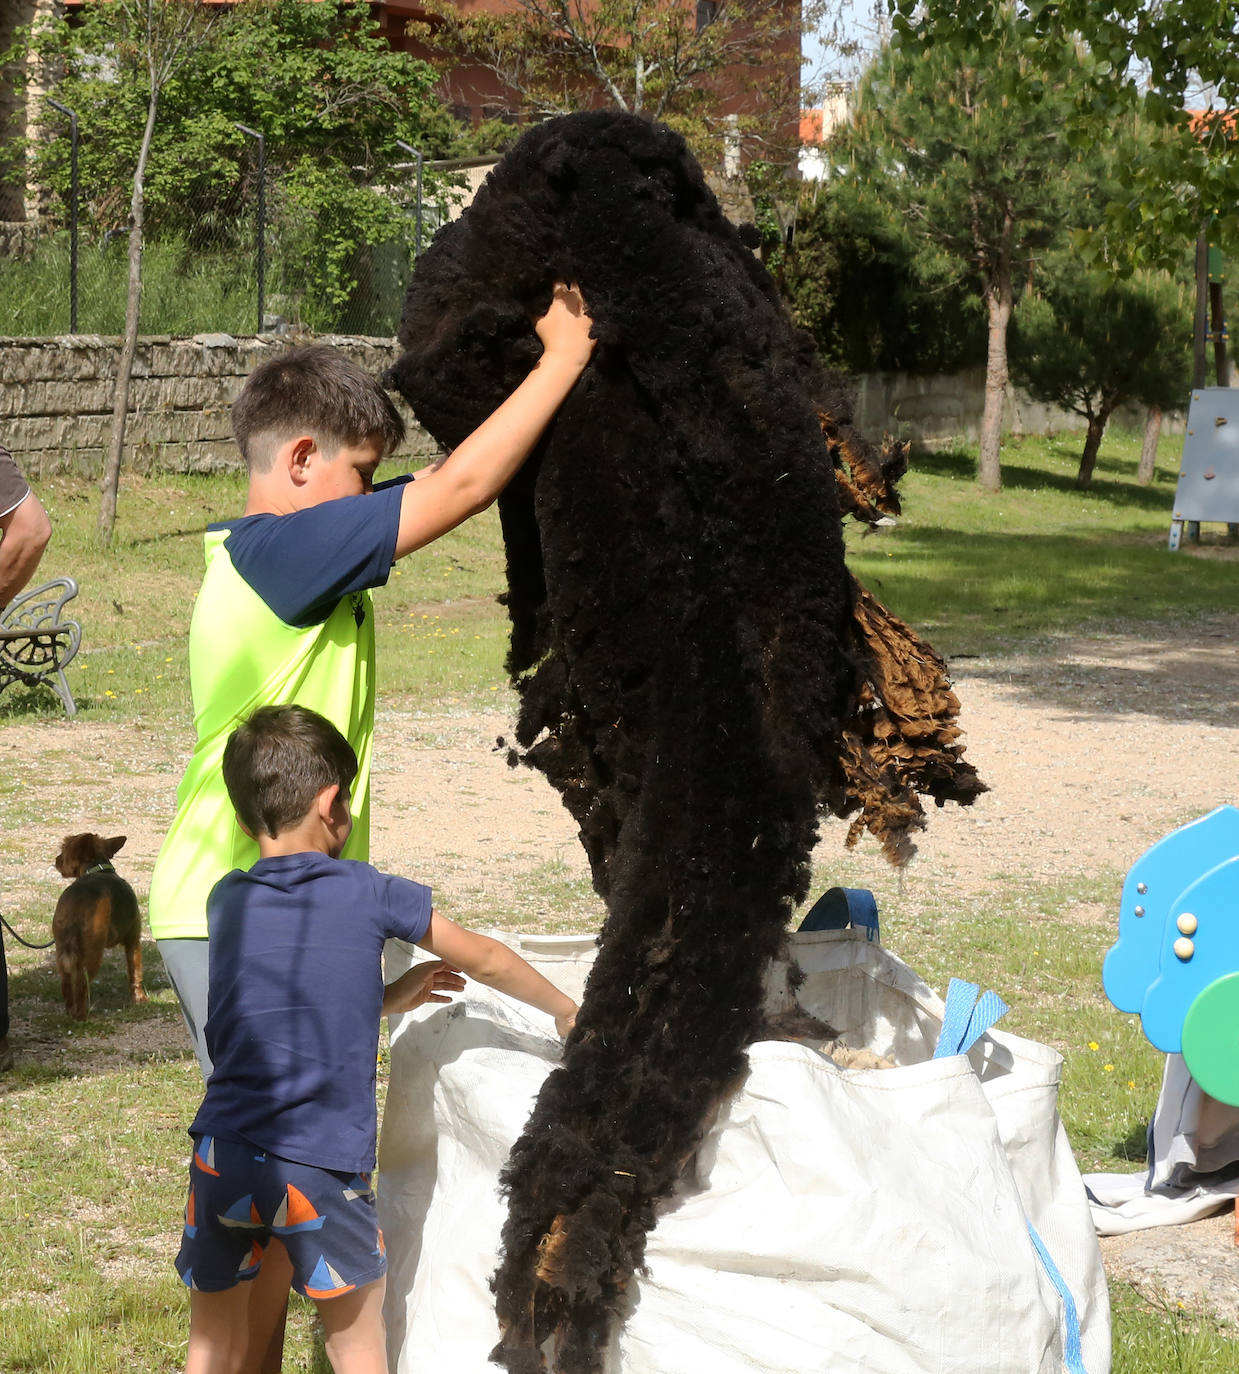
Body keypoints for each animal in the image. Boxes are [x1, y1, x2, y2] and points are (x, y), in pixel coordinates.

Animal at [52, 829, 146, 1016]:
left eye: (64, 849)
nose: (56, 859)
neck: (98, 869)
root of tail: (76, 902)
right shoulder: (133, 940)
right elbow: (135, 972)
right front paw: (140, 999)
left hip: (63, 951)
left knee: (67, 983)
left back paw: (70, 1011)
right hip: (92, 953)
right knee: (81, 984)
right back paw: (82, 1015)